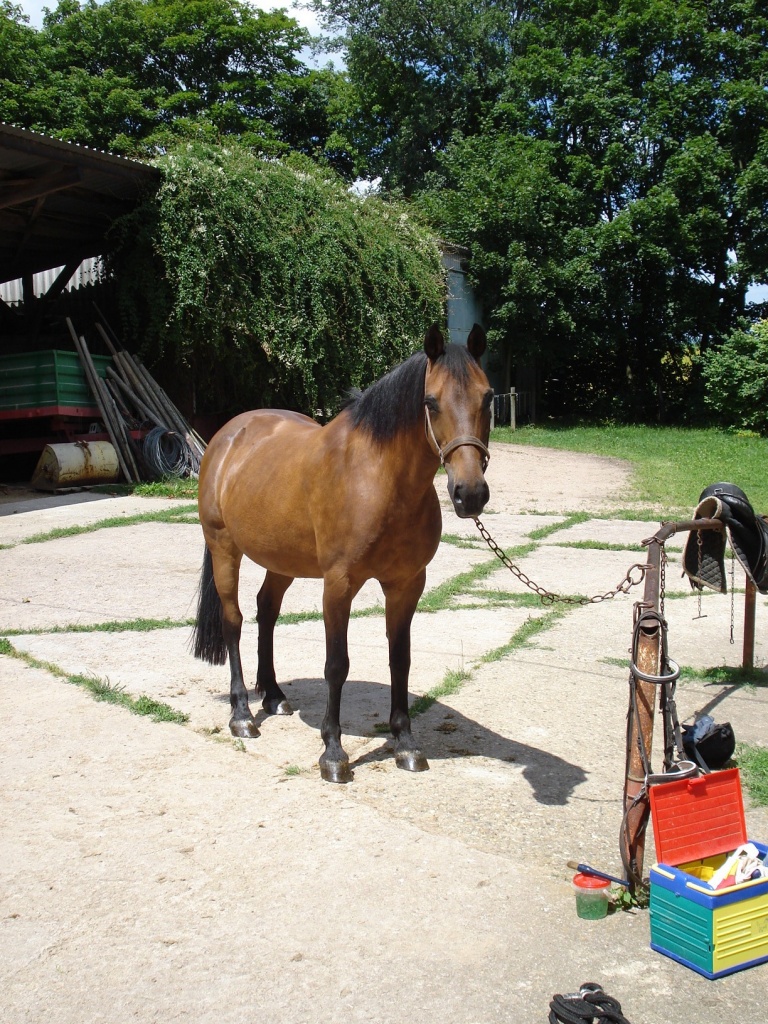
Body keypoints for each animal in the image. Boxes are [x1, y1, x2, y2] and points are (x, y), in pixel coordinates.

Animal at [192, 323, 492, 783]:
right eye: (431, 402)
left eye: (488, 397)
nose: (470, 494)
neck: (378, 478)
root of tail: (227, 436)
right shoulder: (339, 584)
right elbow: (337, 665)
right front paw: (333, 753)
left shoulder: (407, 584)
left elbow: (400, 659)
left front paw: (405, 743)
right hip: (224, 548)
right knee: (234, 622)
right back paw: (242, 713)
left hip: (282, 561)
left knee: (266, 612)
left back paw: (273, 695)